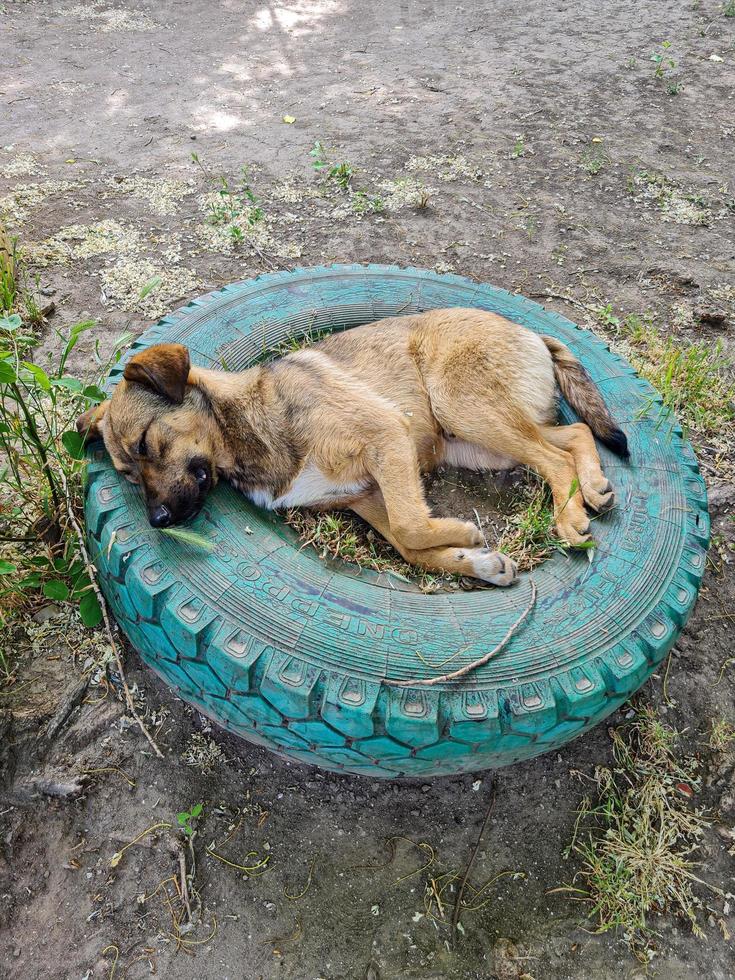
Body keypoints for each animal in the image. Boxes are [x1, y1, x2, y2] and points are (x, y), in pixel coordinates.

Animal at [77, 308, 628, 580]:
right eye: (128, 476)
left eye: (145, 444)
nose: (157, 521)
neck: (246, 425)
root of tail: (528, 329)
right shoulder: (364, 496)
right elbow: (410, 546)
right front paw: (480, 563)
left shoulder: (387, 436)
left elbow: (410, 523)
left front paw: (465, 535)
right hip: (474, 442)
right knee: (572, 435)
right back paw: (594, 486)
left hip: (461, 405)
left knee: (553, 455)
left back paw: (569, 516)